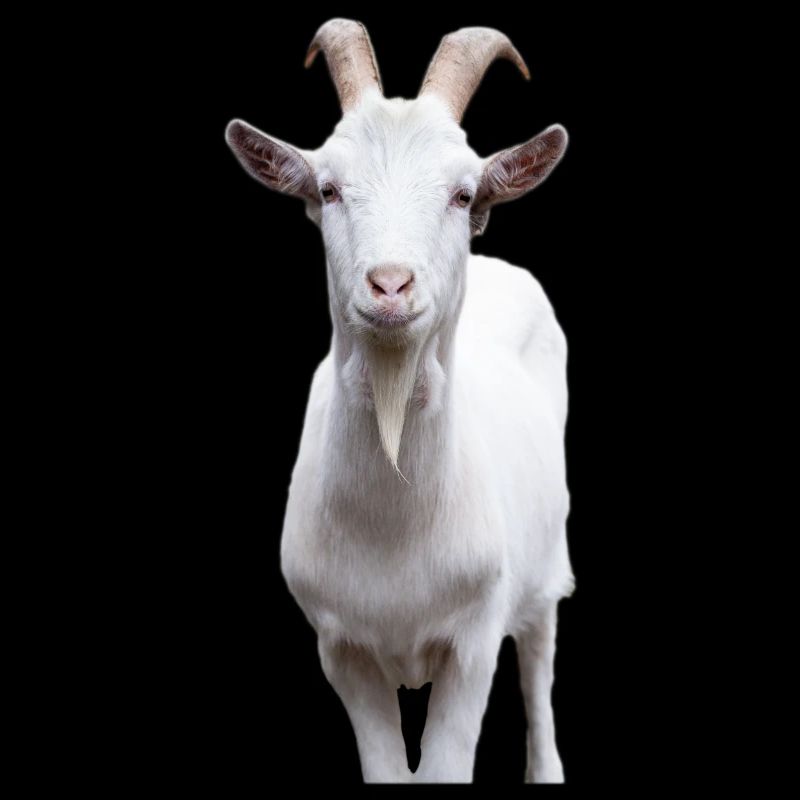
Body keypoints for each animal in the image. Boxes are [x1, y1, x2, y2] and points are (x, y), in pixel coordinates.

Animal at [225, 19, 575, 783]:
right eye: (328, 189)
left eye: (463, 194)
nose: (390, 285)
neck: (394, 520)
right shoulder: (341, 648)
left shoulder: (475, 638)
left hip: (544, 568)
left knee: (540, 661)